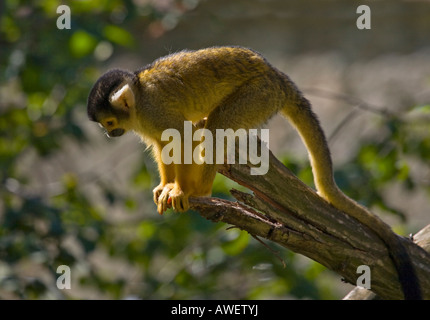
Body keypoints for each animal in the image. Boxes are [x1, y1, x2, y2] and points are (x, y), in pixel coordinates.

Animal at [87, 46, 420, 298]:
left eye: (109, 122)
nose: (108, 134)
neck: (139, 98)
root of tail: (279, 77)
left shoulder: (154, 110)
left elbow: (181, 137)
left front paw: (180, 190)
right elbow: (163, 145)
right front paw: (166, 186)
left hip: (259, 95)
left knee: (216, 127)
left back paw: (200, 191)